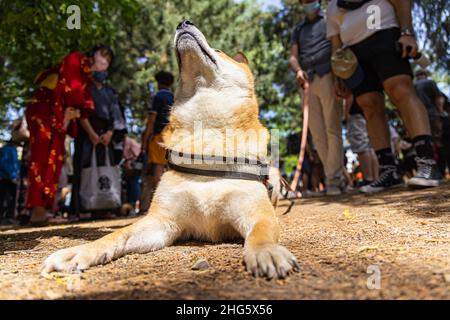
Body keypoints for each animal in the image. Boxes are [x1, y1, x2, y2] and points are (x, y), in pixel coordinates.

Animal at [43, 20, 298, 280]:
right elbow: (117, 234)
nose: (184, 22)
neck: (206, 140)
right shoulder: (160, 222)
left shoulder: (257, 213)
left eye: (219, 51)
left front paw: (266, 250)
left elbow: (261, 232)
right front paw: (81, 251)